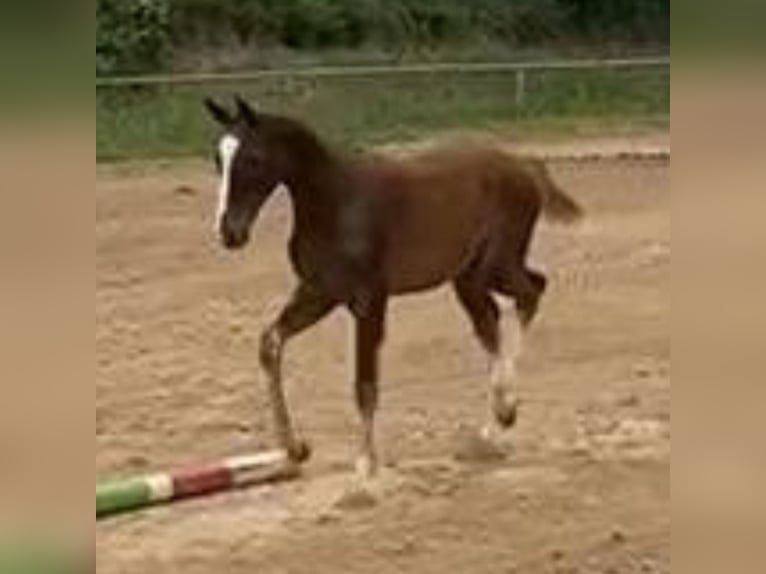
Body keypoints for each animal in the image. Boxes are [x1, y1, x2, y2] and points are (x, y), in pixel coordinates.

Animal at [203, 96, 583, 480]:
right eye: (218, 158)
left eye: (254, 159)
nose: (229, 233)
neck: (335, 204)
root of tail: (524, 165)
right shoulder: (319, 292)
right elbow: (270, 343)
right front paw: (295, 448)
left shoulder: (370, 300)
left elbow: (365, 384)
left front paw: (366, 465)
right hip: (468, 276)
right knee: (492, 320)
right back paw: (491, 430)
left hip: (495, 266)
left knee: (532, 291)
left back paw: (505, 409)